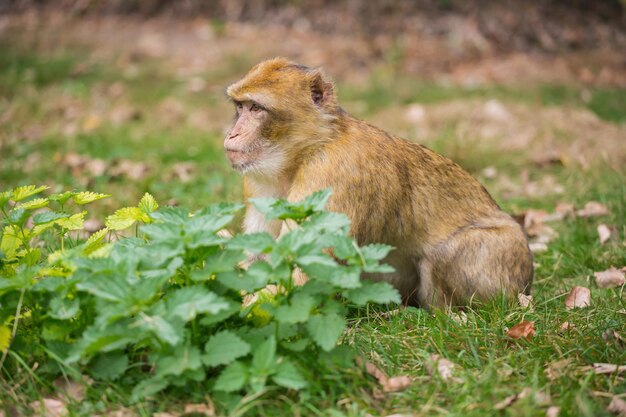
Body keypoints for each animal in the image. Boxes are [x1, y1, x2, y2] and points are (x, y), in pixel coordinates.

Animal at [222, 57, 528, 308]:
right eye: (240, 107)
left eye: (256, 108)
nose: (232, 134)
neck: (306, 150)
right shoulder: (260, 181)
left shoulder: (333, 174)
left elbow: (301, 276)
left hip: (502, 265)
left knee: (444, 255)